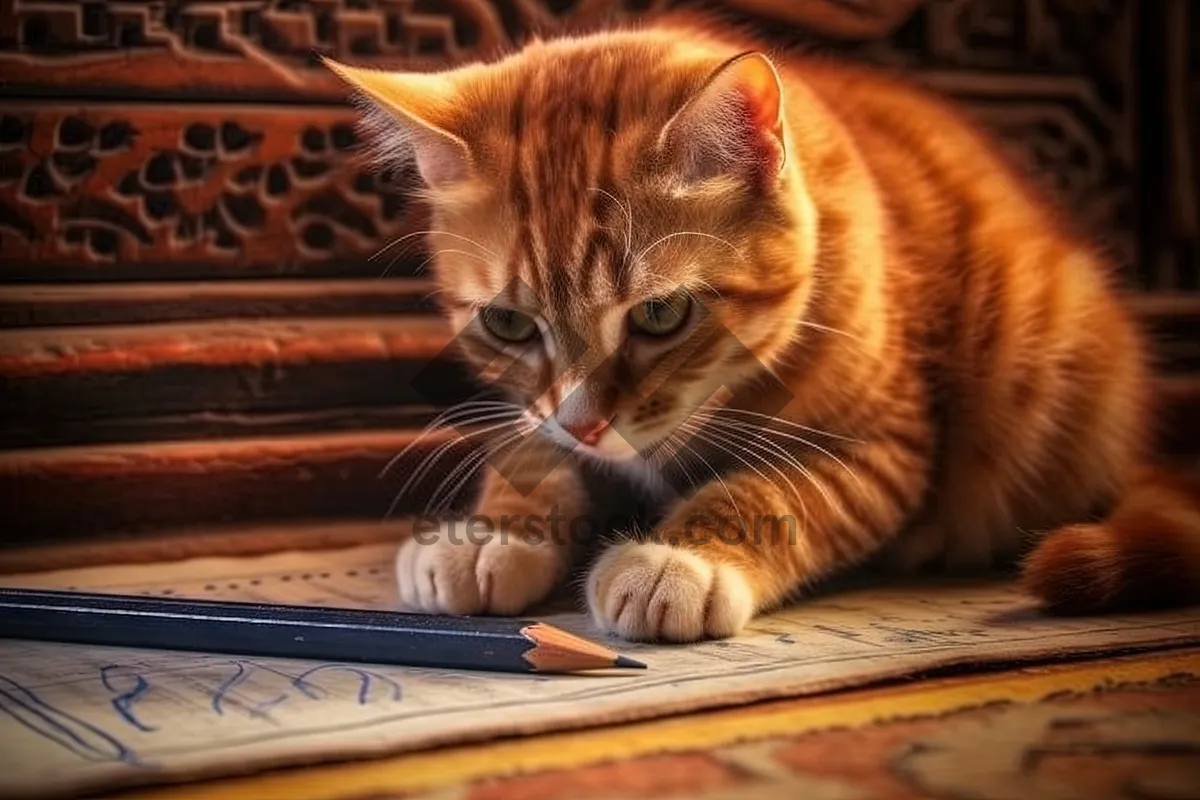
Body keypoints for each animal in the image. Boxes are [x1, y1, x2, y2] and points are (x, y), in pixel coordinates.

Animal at [321, 17, 1200, 642]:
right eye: (507, 321)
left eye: (660, 313)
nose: (587, 423)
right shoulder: (539, 412)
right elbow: (531, 449)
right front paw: (487, 532)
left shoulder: (885, 447)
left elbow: (769, 492)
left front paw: (678, 560)